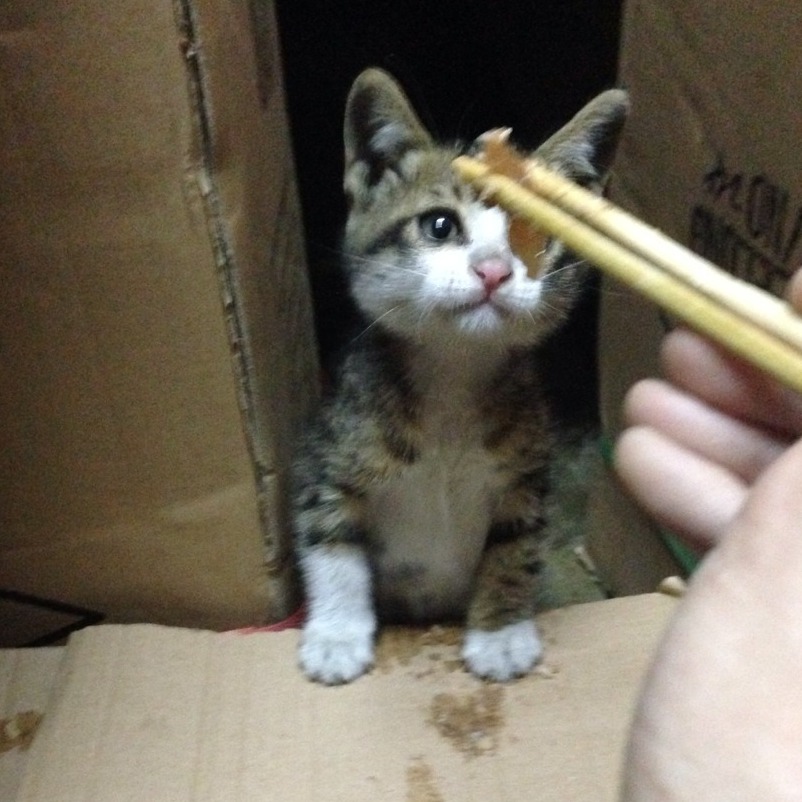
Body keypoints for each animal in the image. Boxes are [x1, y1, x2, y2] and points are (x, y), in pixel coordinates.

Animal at [291, 68, 628, 684]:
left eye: (535, 235)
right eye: (440, 225)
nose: (493, 271)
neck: (452, 373)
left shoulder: (528, 472)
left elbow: (516, 547)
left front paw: (500, 632)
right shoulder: (327, 454)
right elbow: (329, 539)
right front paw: (336, 635)